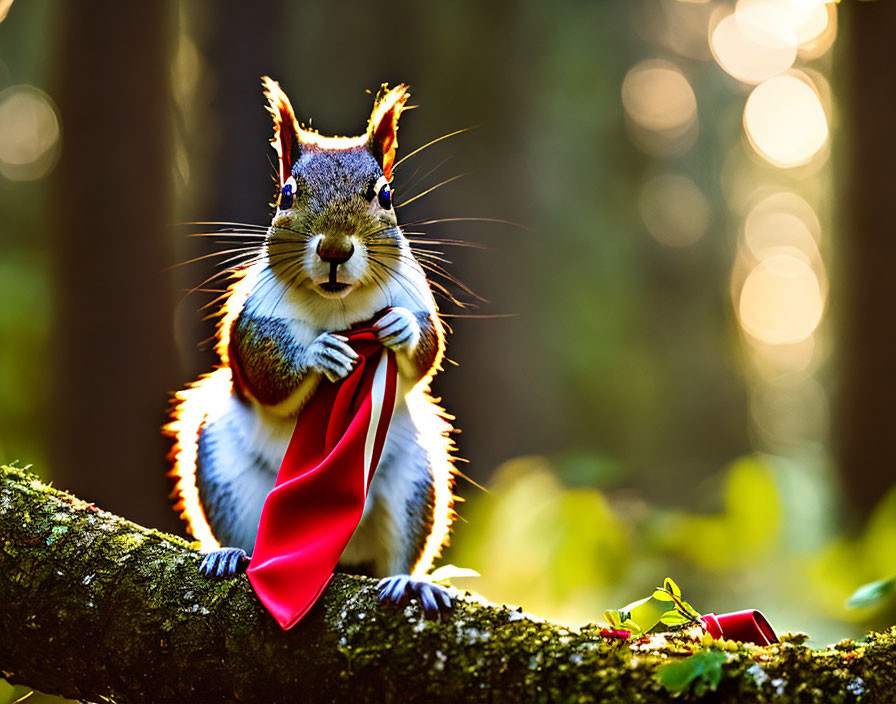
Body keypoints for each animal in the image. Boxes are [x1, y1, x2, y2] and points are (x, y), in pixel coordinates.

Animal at [167, 78, 458, 616]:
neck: (338, 308)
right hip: (227, 473)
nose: (335, 250)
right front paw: (319, 355)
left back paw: (408, 582)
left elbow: (427, 355)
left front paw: (403, 329)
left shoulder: (416, 299)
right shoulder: (251, 322)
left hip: (414, 479)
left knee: (399, 553)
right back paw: (230, 554)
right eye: (286, 194)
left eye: (385, 195)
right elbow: (264, 372)